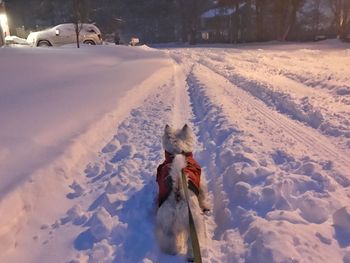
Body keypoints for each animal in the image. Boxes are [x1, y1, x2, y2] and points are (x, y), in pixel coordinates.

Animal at [155, 125, 209, 260]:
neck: (177, 152)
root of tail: (178, 193)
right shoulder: (201, 184)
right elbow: (203, 196)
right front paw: (206, 206)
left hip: (167, 224)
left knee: (169, 240)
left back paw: (173, 252)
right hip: (194, 222)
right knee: (191, 243)